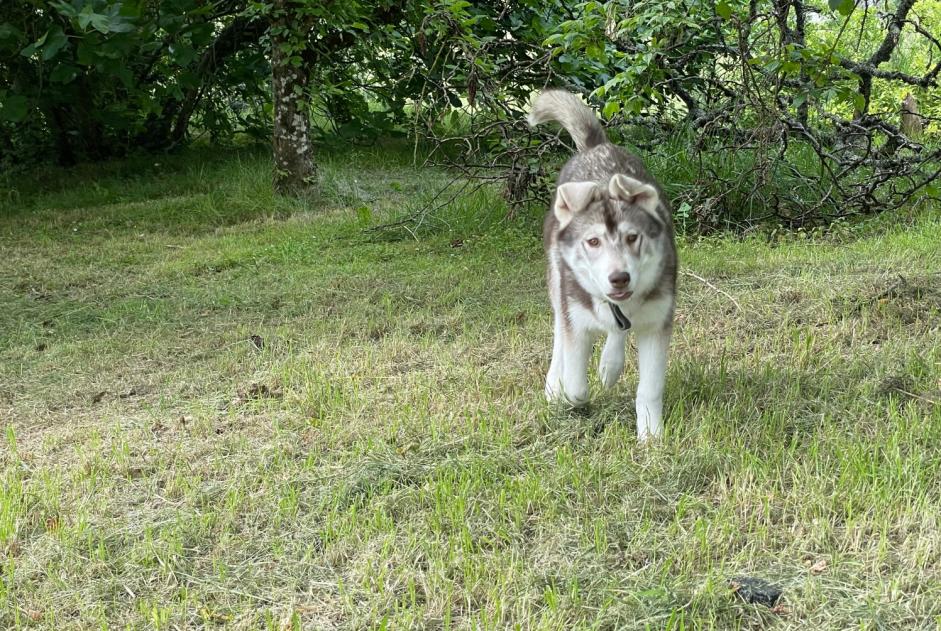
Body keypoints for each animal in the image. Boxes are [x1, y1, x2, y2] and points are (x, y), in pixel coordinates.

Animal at [528, 90, 676, 444]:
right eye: (593, 242)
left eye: (633, 237)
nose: (619, 278)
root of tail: (597, 147)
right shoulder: (576, 315)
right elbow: (576, 385)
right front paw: (568, 395)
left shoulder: (657, 321)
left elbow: (650, 388)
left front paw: (651, 434)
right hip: (557, 281)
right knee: (559, 328)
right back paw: (555, 381)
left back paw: (611, 364)